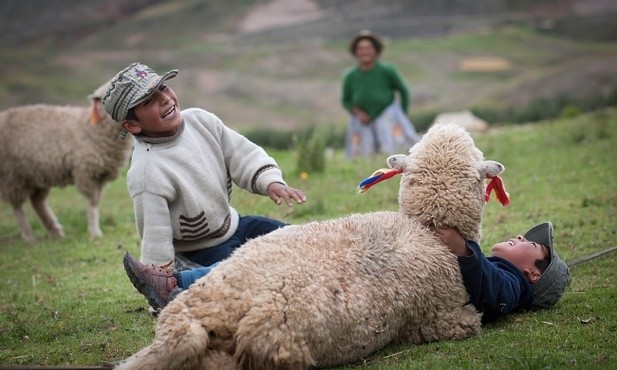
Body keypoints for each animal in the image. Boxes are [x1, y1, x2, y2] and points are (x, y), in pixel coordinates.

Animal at [0, 82, 134, 241]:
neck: (92, 127)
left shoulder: (100, 175)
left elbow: (96, 201)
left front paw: (94, 230)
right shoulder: (86, 171)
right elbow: (92, 202)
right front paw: (95, 232)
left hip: (36, 173)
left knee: (37, 201)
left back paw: (55, 231)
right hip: (11, 175)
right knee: (17, 205)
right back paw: (28, 236)